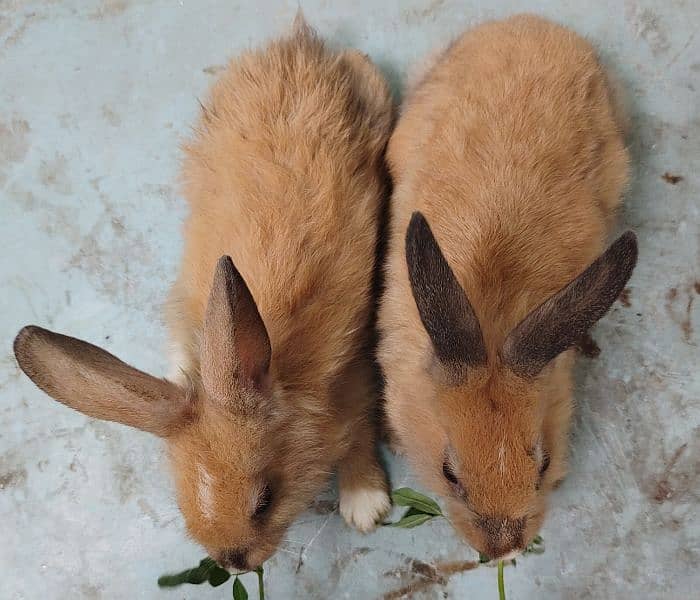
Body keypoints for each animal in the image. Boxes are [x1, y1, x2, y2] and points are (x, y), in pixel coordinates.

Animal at [13, 16, 394, 572]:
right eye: (183, 503)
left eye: (265, 500)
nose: (233, 562)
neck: (274, 362)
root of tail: (297, 45)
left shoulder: (355, 383)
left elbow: (360, 438)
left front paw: (365, 506)